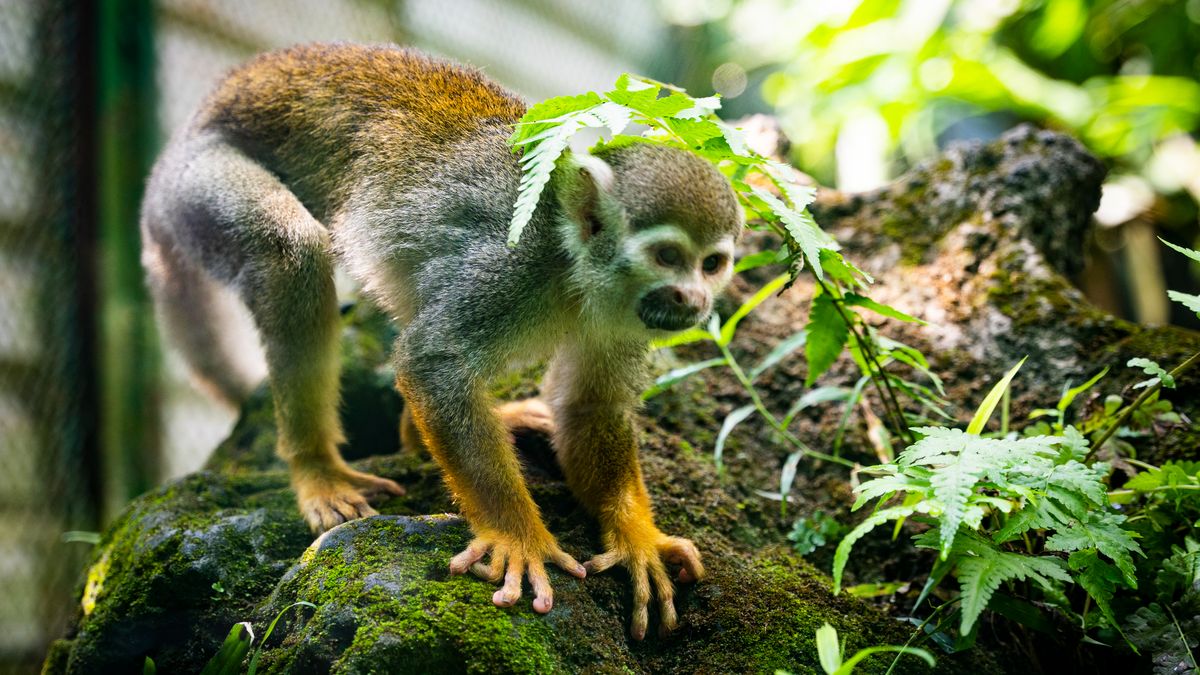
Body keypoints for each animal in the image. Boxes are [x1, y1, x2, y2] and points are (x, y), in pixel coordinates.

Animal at [140, 43, 742, 639]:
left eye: (712, 264)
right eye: (667, 256)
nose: (693, 298)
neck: (574, 267)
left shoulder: (623, 318)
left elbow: (590, 406)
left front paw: (639, 540)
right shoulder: (508, 268)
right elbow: (434, 361)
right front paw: (517, 536)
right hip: (197, 183)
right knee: (291, 254)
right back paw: (318, 470)